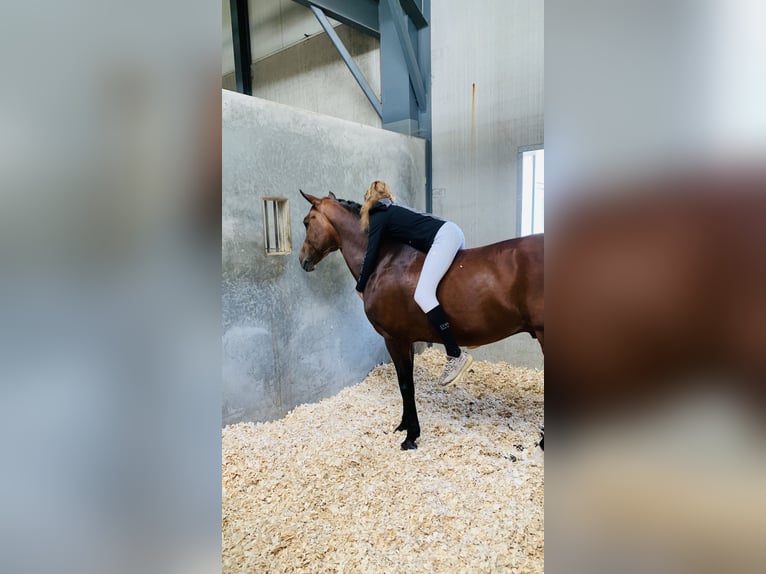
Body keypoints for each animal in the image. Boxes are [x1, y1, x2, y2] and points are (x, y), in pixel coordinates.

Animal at [296, 191, 544, 452]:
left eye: (306, 222)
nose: (302, 260)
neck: (384, 261)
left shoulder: (394, 339)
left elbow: (405, 385)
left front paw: (410, 436)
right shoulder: (408, 340)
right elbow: (406, 382)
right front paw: (404, 426)